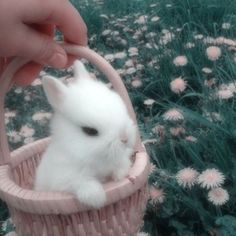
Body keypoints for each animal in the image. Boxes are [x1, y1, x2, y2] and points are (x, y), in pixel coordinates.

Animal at [33, 60, 136, 208]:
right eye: (90, 131)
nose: (125, 138)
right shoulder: (66, 179)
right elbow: (84, 184)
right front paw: (98, 198)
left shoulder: (121, 159)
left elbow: (123, 164)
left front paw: (119, 176)